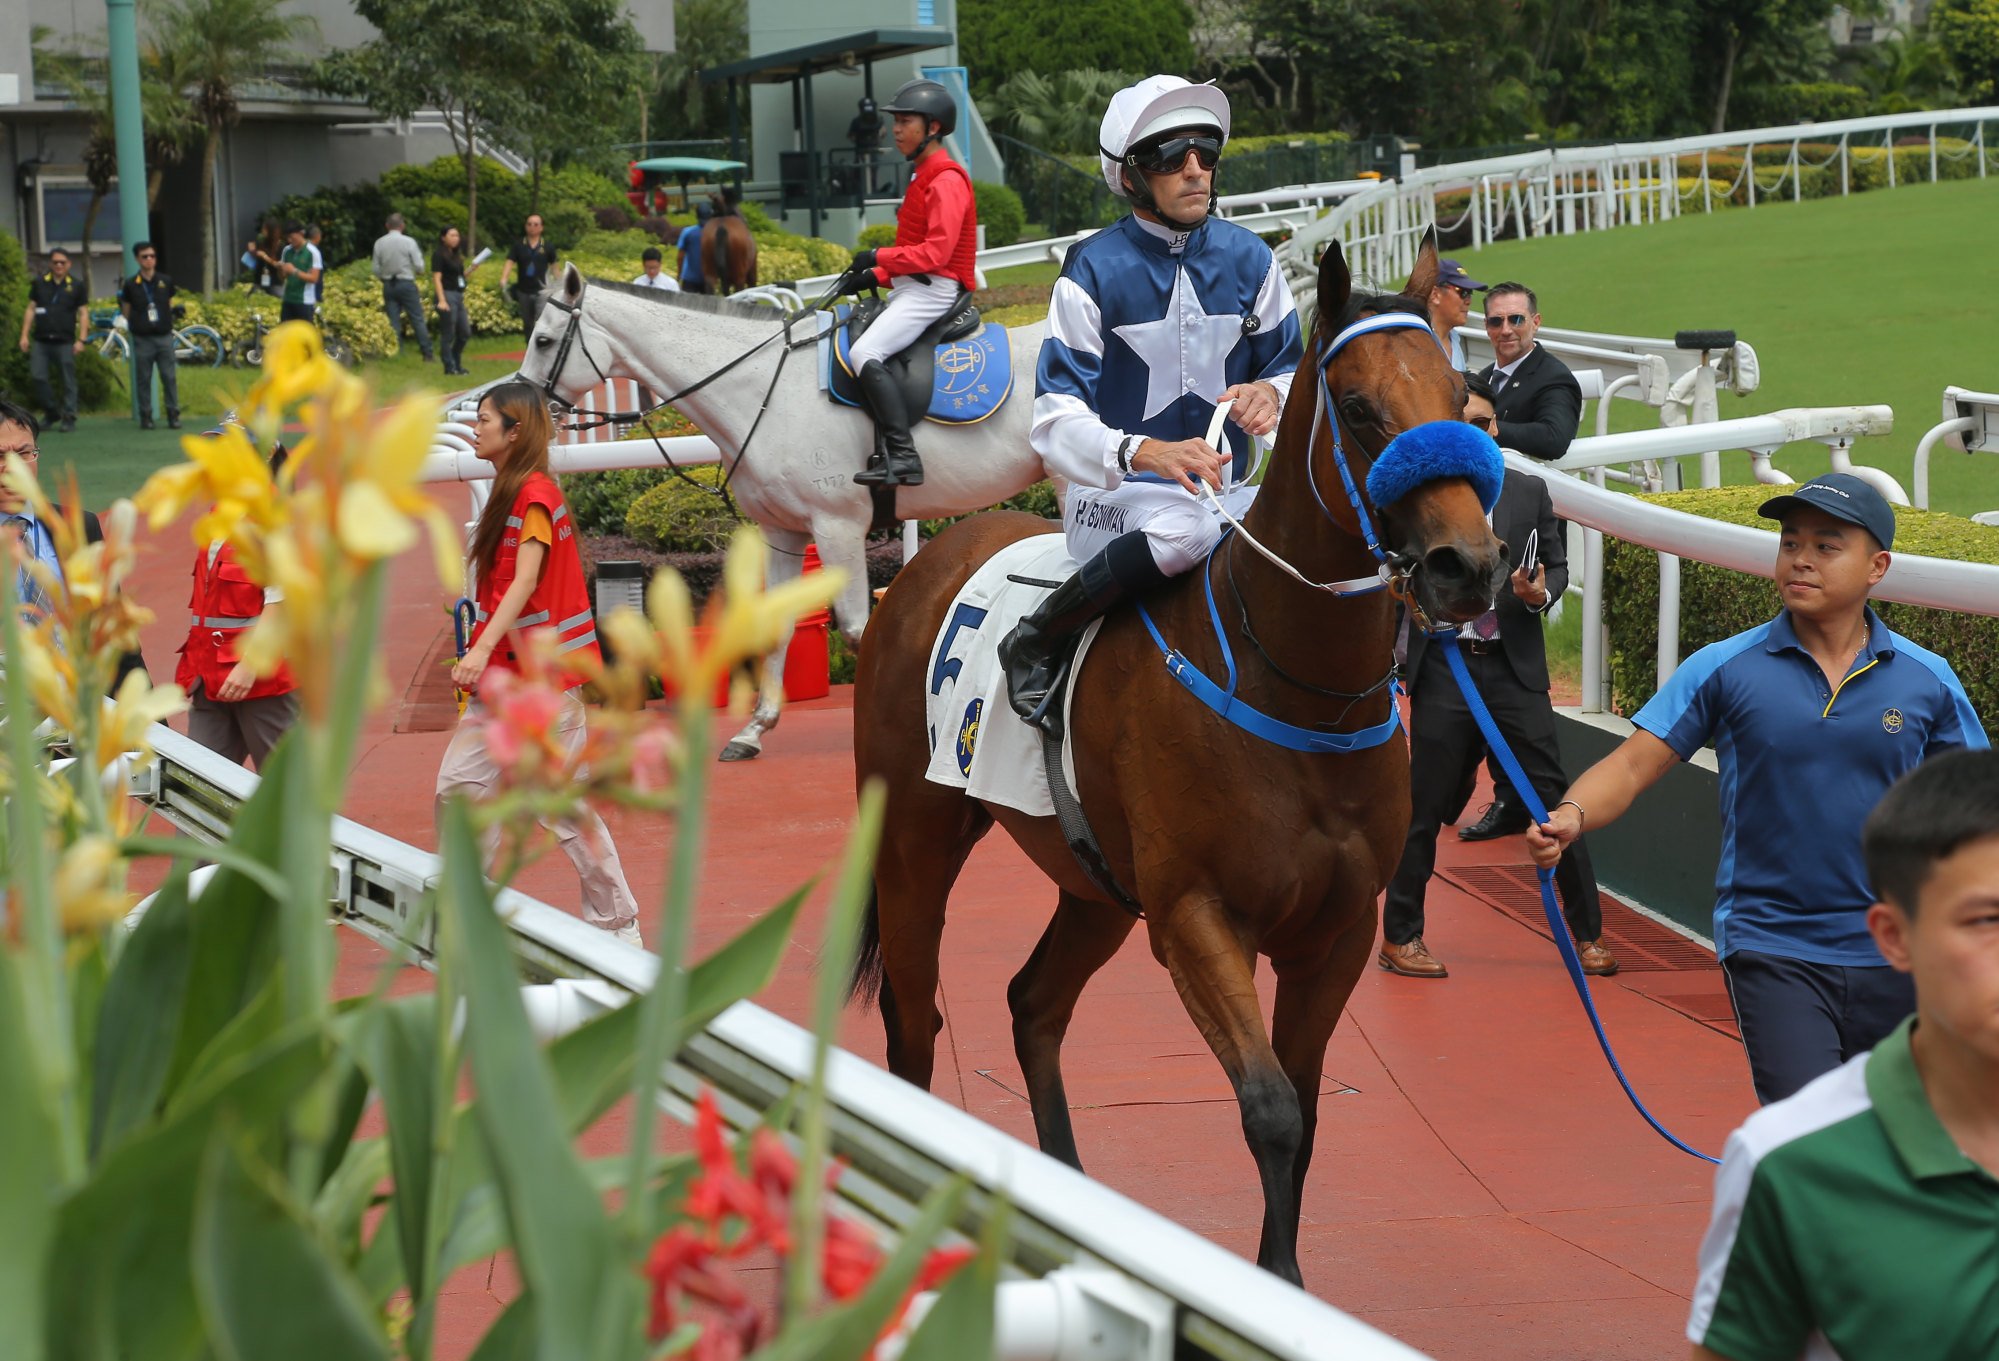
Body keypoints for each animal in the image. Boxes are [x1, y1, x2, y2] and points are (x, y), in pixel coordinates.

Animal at [515, 259, 1055, 759]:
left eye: (543, 340)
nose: (521, 401)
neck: (764, 391)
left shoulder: (838, 525)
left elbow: (859, 629)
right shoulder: (783, 531)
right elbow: (775, 627)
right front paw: (754, 729)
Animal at [839, 235, 1503, 1287]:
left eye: (1463, 394)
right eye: (1360, 408)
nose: (1465, 567)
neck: (1294, 688)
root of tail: (928, 562)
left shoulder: (1338, 929)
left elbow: (1304, 1107)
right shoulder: (1196, 915)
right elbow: (1270, 1108)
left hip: (1096, 885)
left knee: (1032, 1002)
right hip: (912, 837)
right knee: (913, 1021)